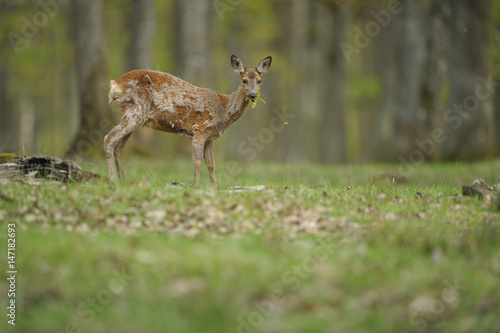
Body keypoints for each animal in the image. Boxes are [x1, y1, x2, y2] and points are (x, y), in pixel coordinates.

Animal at [103, 54, 272, 184]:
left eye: (259, 80)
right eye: (244, 80)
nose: (252, 95)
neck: (223, 109)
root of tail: (115, 84)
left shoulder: (210, 137)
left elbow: (211, 164)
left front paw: (214, 187)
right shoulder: (200, 129)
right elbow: (197, 161)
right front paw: (196, 185)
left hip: (133, 114)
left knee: (119, 147)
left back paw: (123, 181)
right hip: (136, 111)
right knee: (109, 138)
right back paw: (113, 181)